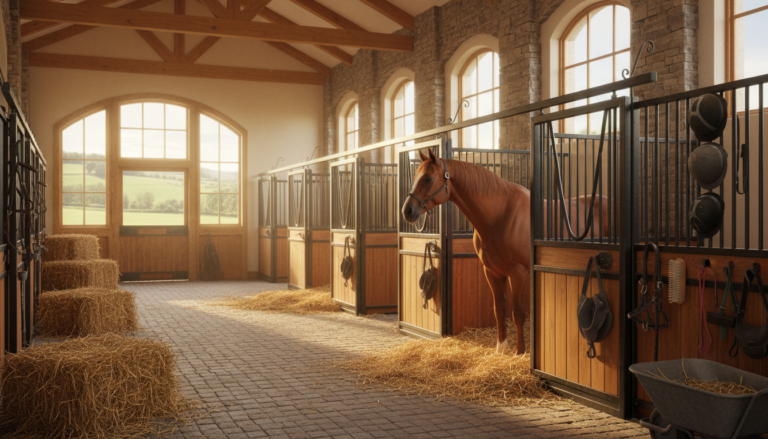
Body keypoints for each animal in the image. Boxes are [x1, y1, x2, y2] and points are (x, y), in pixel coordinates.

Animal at [401, 148, 613, 354]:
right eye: (415, 177)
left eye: (428, 178)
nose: (407, 211)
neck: (500, 215)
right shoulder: (493, 272)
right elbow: (499, 310)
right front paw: (501, 348)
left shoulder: (517, 273)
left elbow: (518, 312)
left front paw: (520, 351)